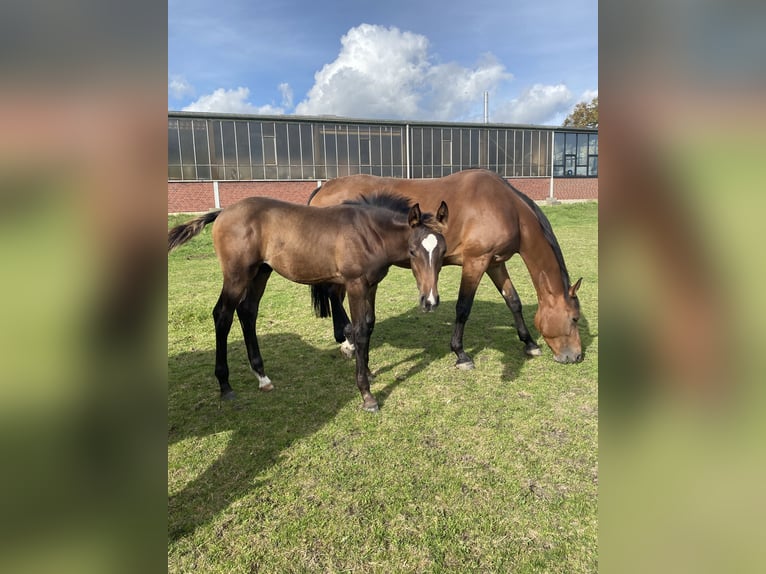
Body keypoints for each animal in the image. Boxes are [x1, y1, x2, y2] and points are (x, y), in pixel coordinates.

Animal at [165, 196, 448, 412]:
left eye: (443, 252)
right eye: (412, 251)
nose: (430, 301)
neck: (370, 234)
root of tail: (223, 212)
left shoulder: (372, 285)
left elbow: (368, 325)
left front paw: (367, 371)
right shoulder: (355, 284)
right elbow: (359, 331)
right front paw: (367, 395)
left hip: (261, 272)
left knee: (248, 312)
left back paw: (262, 377)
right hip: (237, 276)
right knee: (222, 315)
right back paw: (225, 385)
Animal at [308, 170, 584, 368]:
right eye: (574, 318)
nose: (577, 356)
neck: (506, 207)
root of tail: (324, 188)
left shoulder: (496, 263)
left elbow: (513, 301)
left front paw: (529, 343)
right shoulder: (475, 262)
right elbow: (463, 307)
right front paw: (460, 354)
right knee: (334, 295)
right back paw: (348, 340)